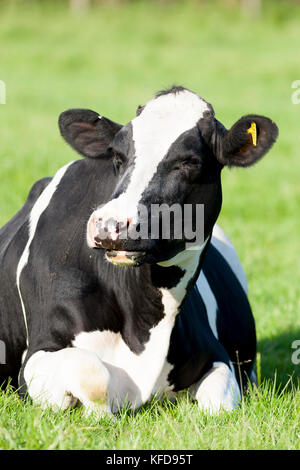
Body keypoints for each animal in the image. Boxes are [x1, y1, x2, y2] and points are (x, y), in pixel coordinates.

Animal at [0, 86, 278, 416]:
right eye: (117, 156)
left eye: (189, 161)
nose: (110, 225)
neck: (144, 320)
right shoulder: (36, 356)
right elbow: (93, 375)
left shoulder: (218, 356)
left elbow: (217, 403)